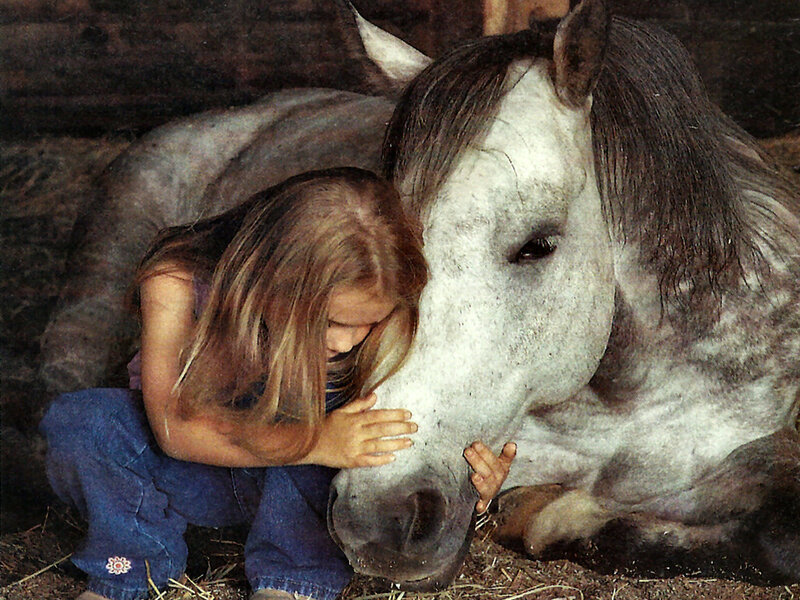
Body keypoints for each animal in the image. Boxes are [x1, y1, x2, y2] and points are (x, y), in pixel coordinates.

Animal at [39, 0, 799, 589]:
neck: (632, 396)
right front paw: (550, 512)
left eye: (538, 245)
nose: (381, 520)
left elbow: (777, 533)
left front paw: (558, 513)